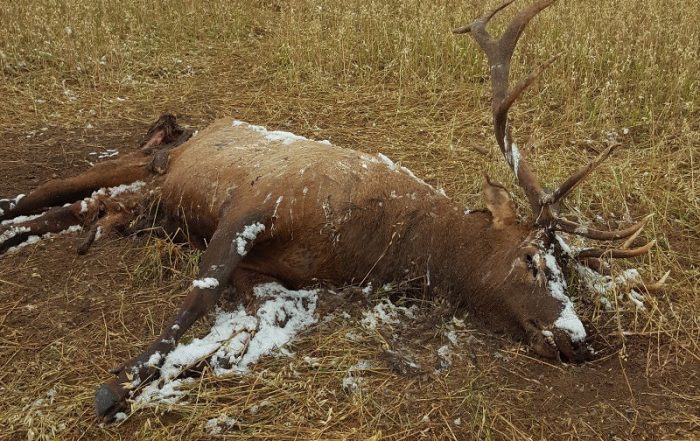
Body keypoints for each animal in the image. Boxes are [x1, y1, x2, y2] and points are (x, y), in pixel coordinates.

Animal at [0, 0, 663, 421]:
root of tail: (180, 132)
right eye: (531, 259)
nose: (576, 340)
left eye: (569, 270)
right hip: (148, 162)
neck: (371, 238)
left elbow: (240, 320)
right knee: (44, 190)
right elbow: (197, 297)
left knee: (74, 210)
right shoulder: (255, 203)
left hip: (149, 196)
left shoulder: (271, 272)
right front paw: (117, 385)